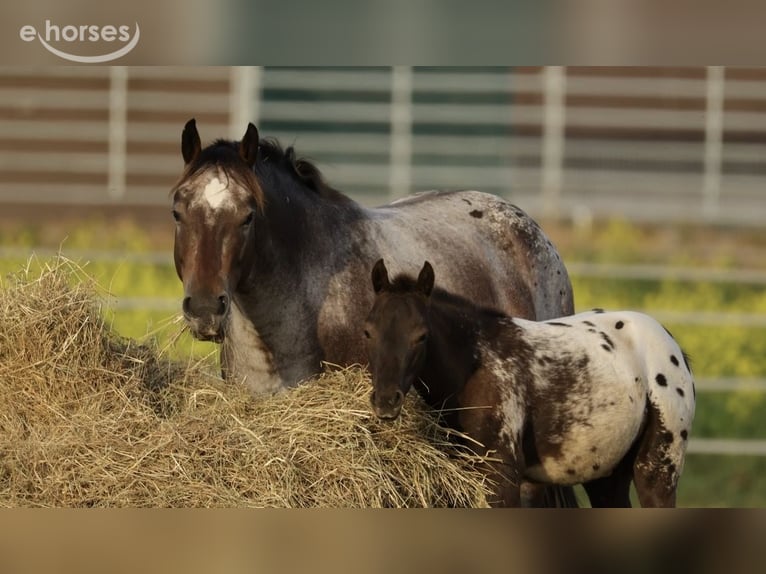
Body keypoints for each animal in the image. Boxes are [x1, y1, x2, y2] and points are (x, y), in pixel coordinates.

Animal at [365, 259, 696, 508]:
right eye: (368, 331)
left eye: (421, 336)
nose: (386, 401)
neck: (474, 363)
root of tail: (672, 347)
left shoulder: (503, 476)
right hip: (606, 477)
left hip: (657, 470)